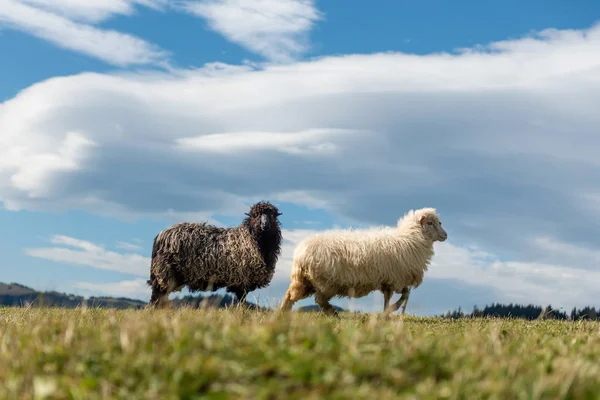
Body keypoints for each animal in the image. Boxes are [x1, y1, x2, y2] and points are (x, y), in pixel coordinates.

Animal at [148, 202, 284, 308]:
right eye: (255, 215)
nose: (265, 225)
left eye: (272, 215)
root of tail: (161, 235)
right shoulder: (242, 279)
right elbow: (242, 301)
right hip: (165, 273)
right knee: (157, 297)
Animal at [278, 208, 448, 318]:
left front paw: (388, 312)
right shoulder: (394, 280)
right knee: (319, 300)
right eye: (430, 223)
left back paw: (282, 313)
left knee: (290, 295)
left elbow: (403, 294)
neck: (411, 238)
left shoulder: (391, 280)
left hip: (305, 280)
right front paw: (389, 311)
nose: (445, 235)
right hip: (325, 282)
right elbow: (396, 296)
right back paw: (333, 313)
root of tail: (300, 251)